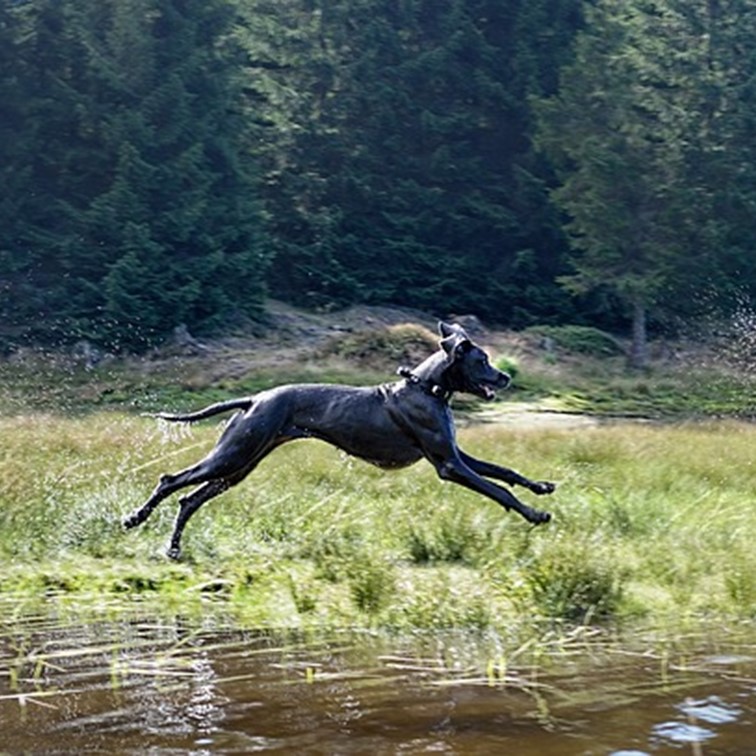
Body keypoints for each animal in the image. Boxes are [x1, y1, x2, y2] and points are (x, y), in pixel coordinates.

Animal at [122, 322, 548, 560]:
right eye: (482, 360)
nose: (506, 377)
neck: (428, 387)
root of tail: (254, 398)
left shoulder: (457, 455)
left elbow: (505, 471)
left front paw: (541, 487)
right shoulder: (448, 464)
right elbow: (497, 490)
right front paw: (534, 514)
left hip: (239, 464)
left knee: (189, 499)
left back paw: (174, 548)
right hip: (233, 455)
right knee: (171, 480)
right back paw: (134, 518)